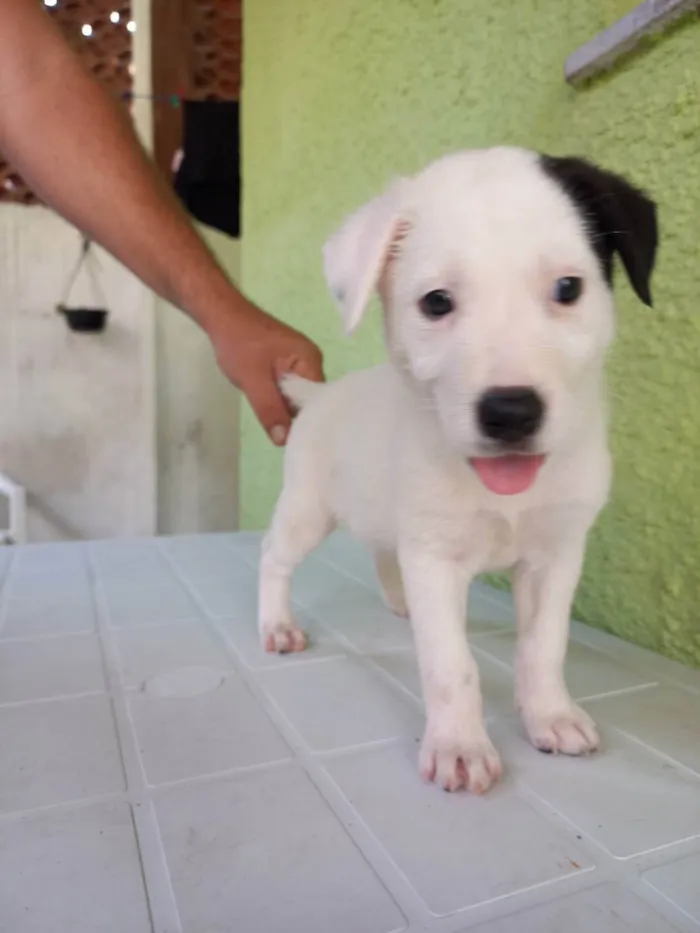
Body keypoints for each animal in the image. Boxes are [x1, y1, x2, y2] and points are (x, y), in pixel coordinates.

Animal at [258, 147, 656, 792]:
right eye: (436, 302)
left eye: (568, 288)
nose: (511, 412)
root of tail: (319, 396)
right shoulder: (435, 557)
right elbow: (452, 665)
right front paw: (459, 744)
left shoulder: (555, 556)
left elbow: (543, 646)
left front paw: (550, 714)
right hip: (306, 510)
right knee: (274, 558)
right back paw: (276, 623)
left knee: (382, 553)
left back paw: (399, 603)